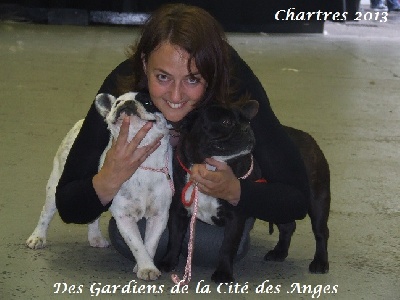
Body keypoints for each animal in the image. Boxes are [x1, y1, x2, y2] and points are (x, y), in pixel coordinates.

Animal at [26, 92, 173, 282]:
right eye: (118, 102)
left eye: (147, 102)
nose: (127, 103)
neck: (143, 163)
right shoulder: (124, 217)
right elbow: (136, 244)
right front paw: (145, 266)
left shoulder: (159, 216)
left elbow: (150, 244)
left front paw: (144, 266)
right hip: (54, 188)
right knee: (46, 213)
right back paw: (38, 237)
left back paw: (95, 237)